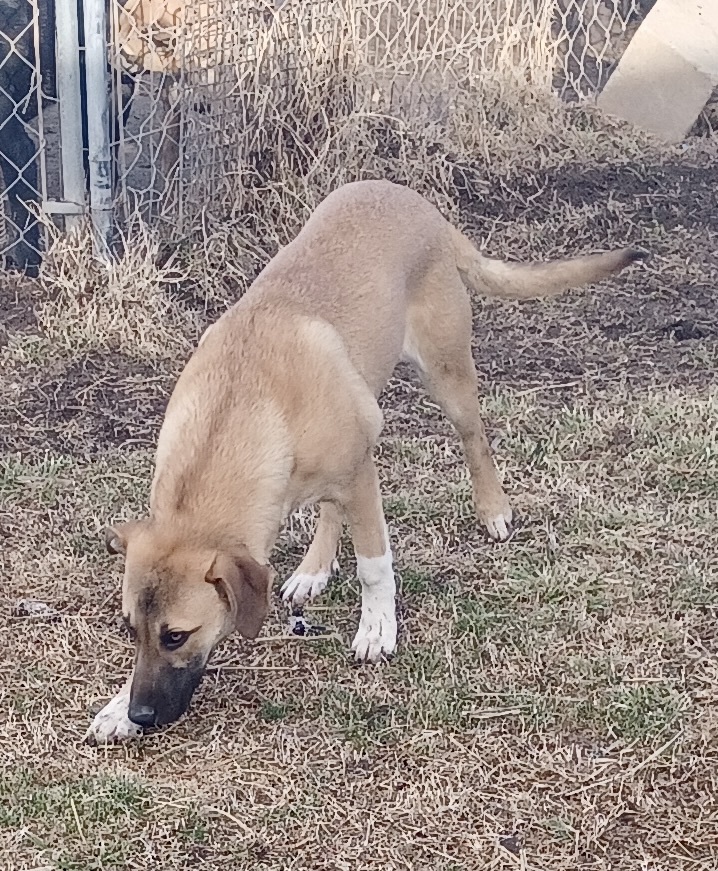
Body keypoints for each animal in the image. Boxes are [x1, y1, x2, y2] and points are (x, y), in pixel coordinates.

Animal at [86, 181, 648, 744]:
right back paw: (313, 569)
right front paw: (115, 708)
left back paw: (492, 508)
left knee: (475, 440)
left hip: (446, 373)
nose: (142, 714)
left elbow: (374, 565)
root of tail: (419, 205)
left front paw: (377, 626)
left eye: (177, 636)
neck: (239, 403)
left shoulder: (359, 475)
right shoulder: (345, 469)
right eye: (130, 629)